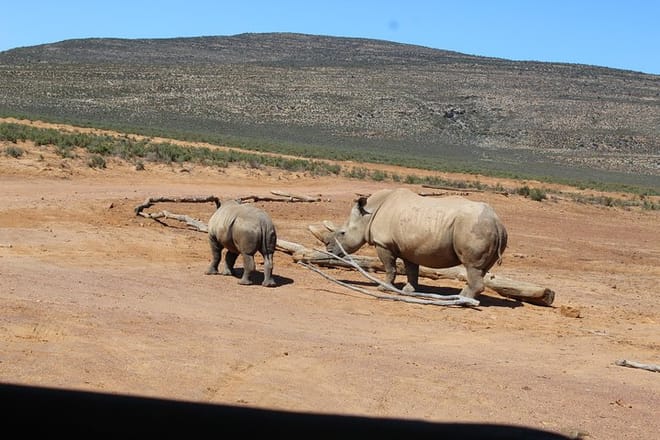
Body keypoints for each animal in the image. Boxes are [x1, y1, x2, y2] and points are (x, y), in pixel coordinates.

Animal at [321, 188, 507, 299]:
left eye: (342, 233)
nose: (328, 248)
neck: (368, 215)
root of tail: (497, 222)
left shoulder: (384, 243)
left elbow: (390, 268)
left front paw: (383, 288)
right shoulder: (409, 247)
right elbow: (411, 270)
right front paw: (408, 291)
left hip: (474, 227)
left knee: (472, 266)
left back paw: (463, 298)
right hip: (487, 228)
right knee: (481, 269)